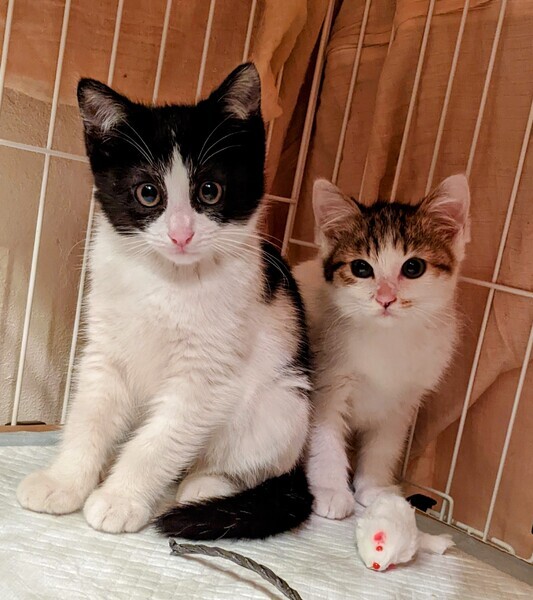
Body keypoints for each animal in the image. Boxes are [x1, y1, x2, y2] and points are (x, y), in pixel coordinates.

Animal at [17, 63, 314, 539]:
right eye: (148, 193)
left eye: (209, 190)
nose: (181, 234)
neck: (166, 279)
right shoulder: (105, 347)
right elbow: (89, 414)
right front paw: (65, 481)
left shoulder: (205, 375)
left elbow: (160, 441)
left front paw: (119, 499)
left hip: (283, 404)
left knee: (254, 463)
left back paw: (206, 485)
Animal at [294, 175, 470, 519]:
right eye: (361, 269)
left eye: (413, 267)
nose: (385, 298)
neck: (388, 340)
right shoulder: (327, 383)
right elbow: (324, 437)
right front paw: (330, 490)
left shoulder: (405, 400)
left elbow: (384, 445)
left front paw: (374, 488)